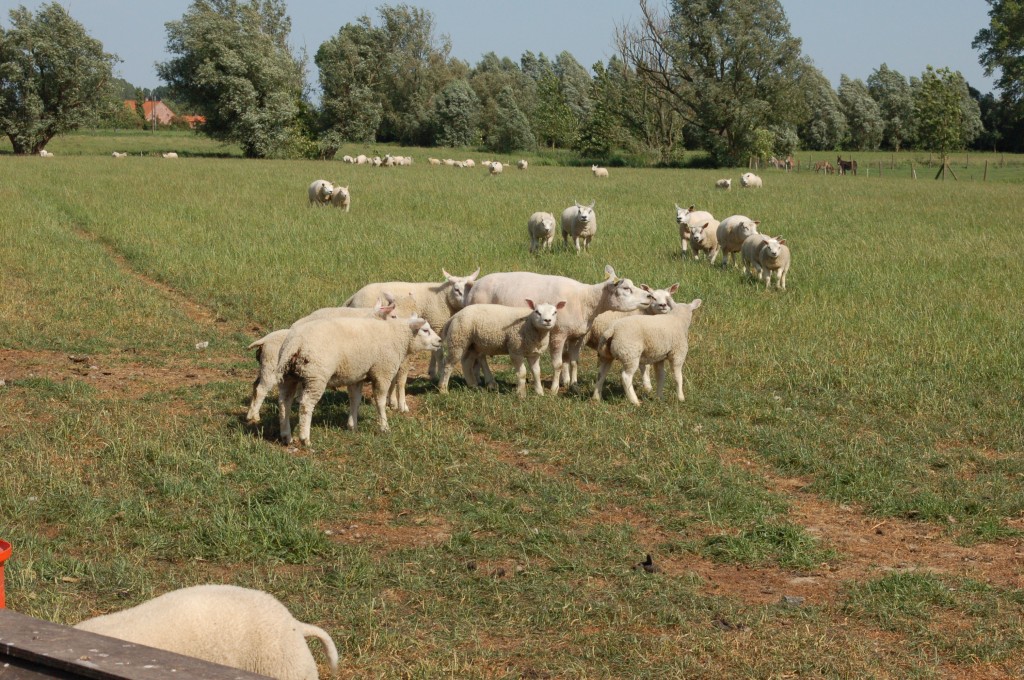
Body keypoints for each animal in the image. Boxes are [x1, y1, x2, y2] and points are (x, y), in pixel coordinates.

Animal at [278, 315, 442, 444]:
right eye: (425, 330)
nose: (440, 341)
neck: (397, 336)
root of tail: (296, 342)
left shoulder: (357, 376)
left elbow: (355, 400)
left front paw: (352, 426)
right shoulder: (383, 371)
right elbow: (380, 401)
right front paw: (384, 427)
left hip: (288, 375)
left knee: (284, 402)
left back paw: (286, 435)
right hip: (316, 376)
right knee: (306, 405)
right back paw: (305, 438)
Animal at [344, 266, 479, 383]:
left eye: (471, 288)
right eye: (457, 290)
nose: (467, 303)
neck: (443, 297)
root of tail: (354, 296)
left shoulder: (434, 326)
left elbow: (434, 348)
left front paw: (432, 372)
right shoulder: (437, 323)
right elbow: (439, 353)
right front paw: (439, 373)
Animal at [438, 299, 573, 399]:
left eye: (555, 312)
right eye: (537, 312)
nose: (547, 320)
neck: (529, 325)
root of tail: (454, 316)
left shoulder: (534, 353)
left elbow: (536, 372)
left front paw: (539, 392)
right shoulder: (515, 350)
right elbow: (522, 372)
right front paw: (521, 394)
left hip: (472, 344)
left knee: (466, 361)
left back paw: (473, 386)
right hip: (458, 339)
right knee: (448, 364)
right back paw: (443, 389)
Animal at [468, 266, 651, 393]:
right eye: (626, 288)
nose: (649, 296)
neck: (585, 300)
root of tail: (473, 288)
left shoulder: (577, 336)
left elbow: (574, 361)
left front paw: (574, 385)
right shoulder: (558, 334)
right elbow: (557, 364)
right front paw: (555, 389)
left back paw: (478, 378)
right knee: (481, 355)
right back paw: (490, 382)